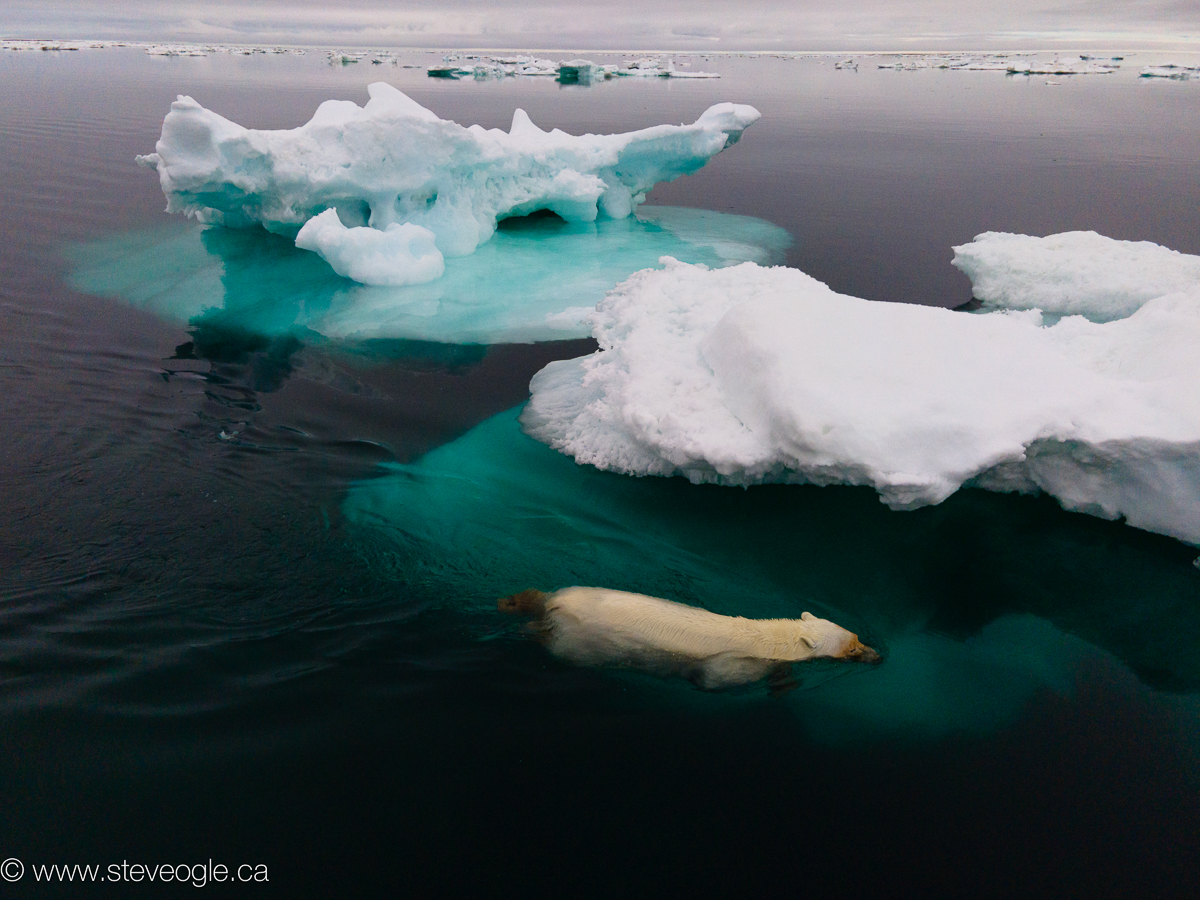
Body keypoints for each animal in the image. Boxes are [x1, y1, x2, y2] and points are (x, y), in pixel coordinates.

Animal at [498, 587, 880, 690]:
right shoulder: (733, 664)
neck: (769, 637)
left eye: (858, 637)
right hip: (579, 642)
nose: (879, 656)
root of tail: (557, 604)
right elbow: (714, 681)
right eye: (852, 648)